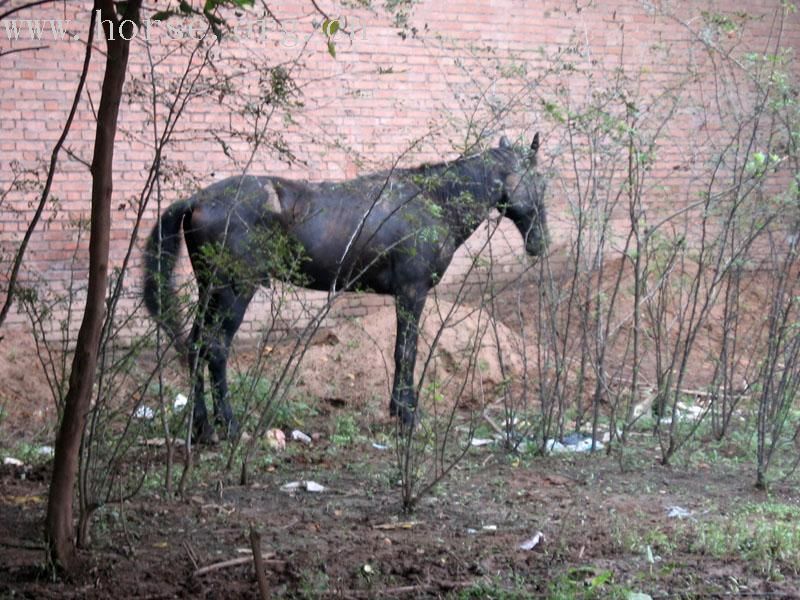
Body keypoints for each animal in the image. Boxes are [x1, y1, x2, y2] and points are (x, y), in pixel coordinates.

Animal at [144, 134, 548, 440]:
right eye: (539, 182)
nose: (539, 243)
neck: (434, 203)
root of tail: (196, 200)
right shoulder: (412, 293)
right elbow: (406, 352)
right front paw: (407, 416)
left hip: (210, 291)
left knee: (195, 346)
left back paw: (202, 429)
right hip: (234, 291)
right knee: (215, 348)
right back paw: (228, 426)